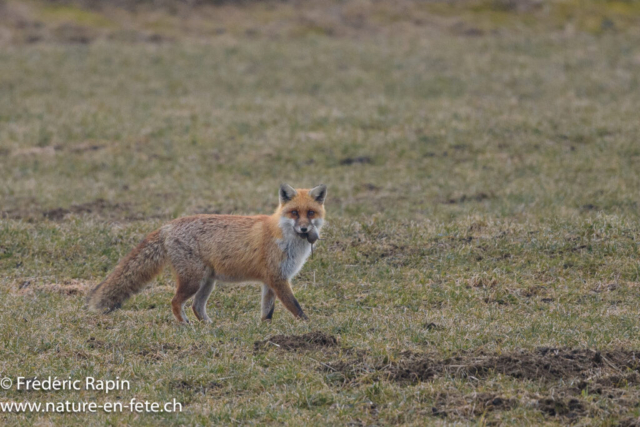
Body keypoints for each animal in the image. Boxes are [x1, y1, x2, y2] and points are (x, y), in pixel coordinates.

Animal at [86, 184, 327, 323]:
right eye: (294, 213)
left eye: (310, 213)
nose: (304, 229)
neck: (284, 237)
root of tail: (168, 225)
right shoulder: (278, 279)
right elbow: (295, 306)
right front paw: (309, 325)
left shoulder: (271, 281)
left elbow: (267, 312)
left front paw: (264, 329)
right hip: (193, 281)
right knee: (175, 302)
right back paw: (185, 326)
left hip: (207, 282)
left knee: (196, 306)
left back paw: (210, 327)